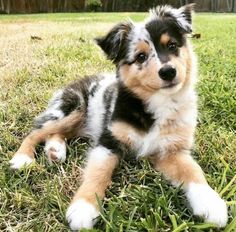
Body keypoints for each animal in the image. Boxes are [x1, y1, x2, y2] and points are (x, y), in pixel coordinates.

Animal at [9, 3, 227, 230]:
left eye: (173, 45)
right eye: (140, 57)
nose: (168, 72)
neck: (158, 103)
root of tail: (72, 83)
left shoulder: (170, 150)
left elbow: (193, 170)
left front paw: (211, 203)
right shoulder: (108, 141)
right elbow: (98, 173)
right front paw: (83, 207)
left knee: (57, 133)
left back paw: (55, 150)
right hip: (74, 108)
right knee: (37, 131)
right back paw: (23, 158)